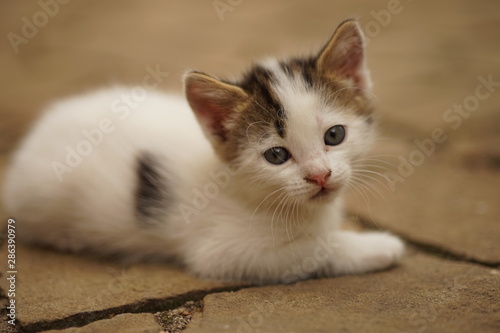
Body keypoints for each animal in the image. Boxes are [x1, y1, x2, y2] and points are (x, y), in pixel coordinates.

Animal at [2, 19, 402, 282]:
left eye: (334, 135)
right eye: (276, 156)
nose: (320, 176)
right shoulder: (222, 252)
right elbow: (315, 250)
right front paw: (378, 247)